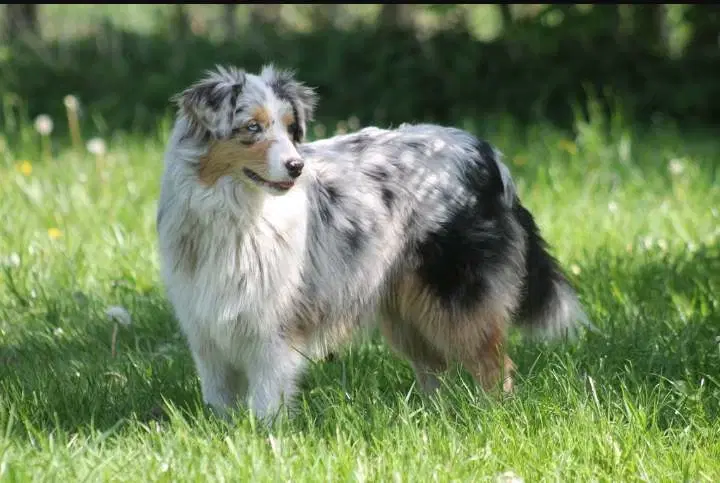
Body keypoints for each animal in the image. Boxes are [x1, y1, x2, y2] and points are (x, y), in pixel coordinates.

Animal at [156, 65, 592, 424]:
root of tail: (487, 153)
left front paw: (266, 442)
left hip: (456, 301)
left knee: (494, 366)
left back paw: (493, 417)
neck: (238, 212)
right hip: (407, 310)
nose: (297, 166)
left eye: (290, 128)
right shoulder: (206, 331)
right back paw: (432, 420)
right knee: (436, 370)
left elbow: (267, 402)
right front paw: (223, 435)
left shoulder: (272, 331)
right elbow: (220, 401)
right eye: (251, 128)